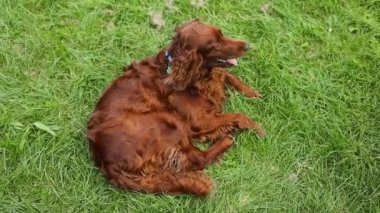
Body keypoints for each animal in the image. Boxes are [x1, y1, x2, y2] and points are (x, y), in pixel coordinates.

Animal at [86, 20, 264, 196]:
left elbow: (229, 76)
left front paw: (253, 93)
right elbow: (238, 115)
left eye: (221, 33)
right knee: (198, 159)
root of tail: (107, 163)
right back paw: (226, 140)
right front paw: (257, 128)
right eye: (215, 44)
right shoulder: (198, 122)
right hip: (167, 123)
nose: (247, 45)